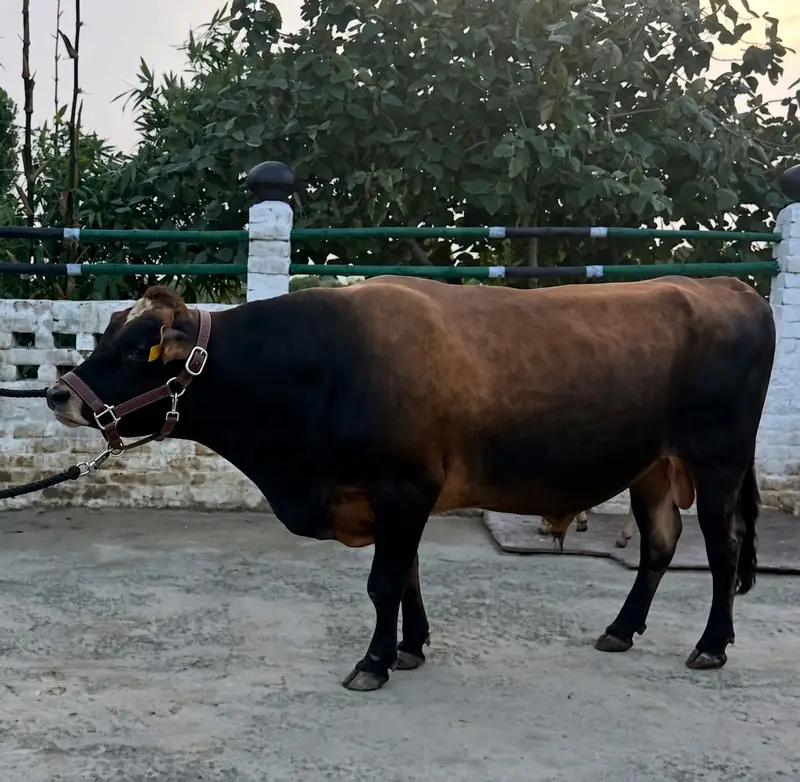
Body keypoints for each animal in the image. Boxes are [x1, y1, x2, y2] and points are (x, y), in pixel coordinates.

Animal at [44, 274, 775, 692]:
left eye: (134, 350)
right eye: (106, 335)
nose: (57, 394)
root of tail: (729, 286)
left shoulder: (405, 487)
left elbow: (384, 582)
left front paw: (374, 662)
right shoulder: (396, 499)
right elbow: (408, 576)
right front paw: (410, 646)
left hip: (717, 460)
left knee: (723, 550)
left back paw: (711, 645)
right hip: (652, 467)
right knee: (660, 544)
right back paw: (622, 629)